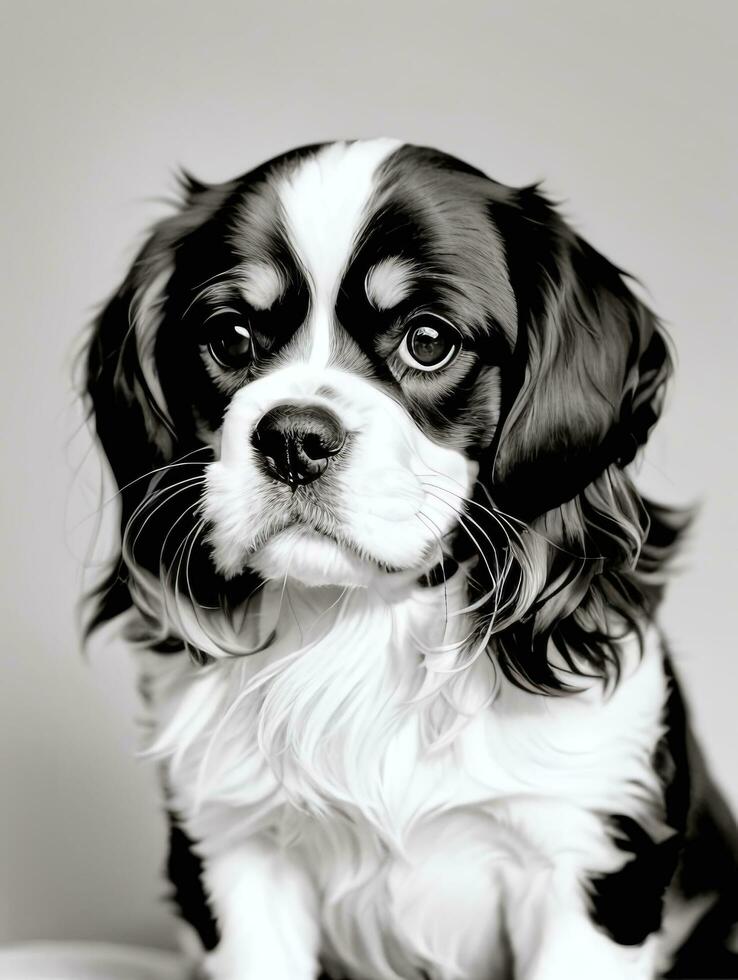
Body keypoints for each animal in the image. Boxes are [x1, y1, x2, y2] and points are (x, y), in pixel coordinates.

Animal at [83, 140, 736, 980]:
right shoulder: (236, 851)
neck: (365, 622)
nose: (293, 437)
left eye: (428, 342)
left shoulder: (589, 856)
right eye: (230, 338)